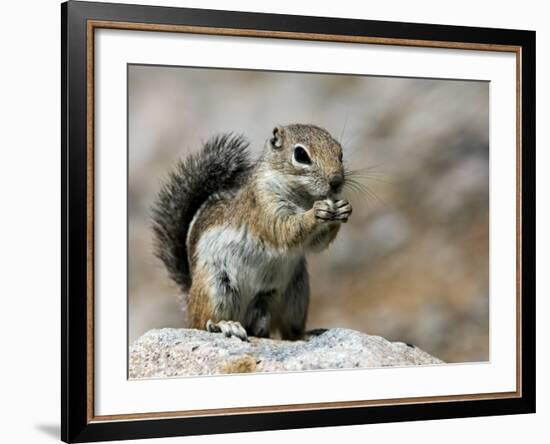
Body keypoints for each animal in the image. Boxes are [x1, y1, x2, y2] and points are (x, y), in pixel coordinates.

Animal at [154, 123, 354, 342]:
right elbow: (284, 230)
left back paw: (303, 334)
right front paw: (316, 212)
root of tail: (189, 295)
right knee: (201, 322)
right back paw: (225, 325)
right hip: (216, 286)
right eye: (301, 155)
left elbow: (316, 244)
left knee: (287, 330)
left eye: (340, 153)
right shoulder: (264, 204)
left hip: (295, 294)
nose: (336, 181)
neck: (303, 196)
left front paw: (343, 208)